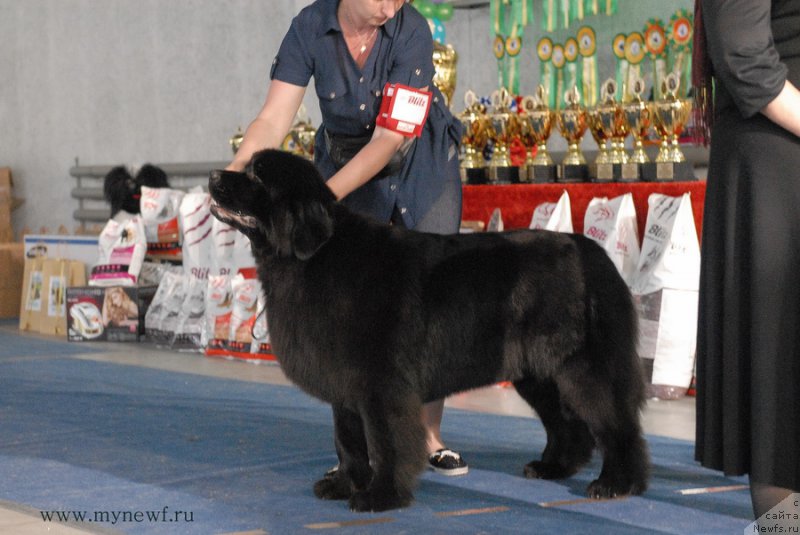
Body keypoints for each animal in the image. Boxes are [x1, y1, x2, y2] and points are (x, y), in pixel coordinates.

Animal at [208, 149, 648, 512]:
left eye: (258, 175)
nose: (212, 175)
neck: (313, 257)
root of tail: (593, 253)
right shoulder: (344, 381)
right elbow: (348, 441)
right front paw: (345, 485)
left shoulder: (381, 383)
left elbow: (385, 442)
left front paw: (381, 496)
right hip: (537, 371)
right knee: (566, 424)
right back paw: (551, 467)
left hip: (582, 367)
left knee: (615, 423)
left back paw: (616, 483)